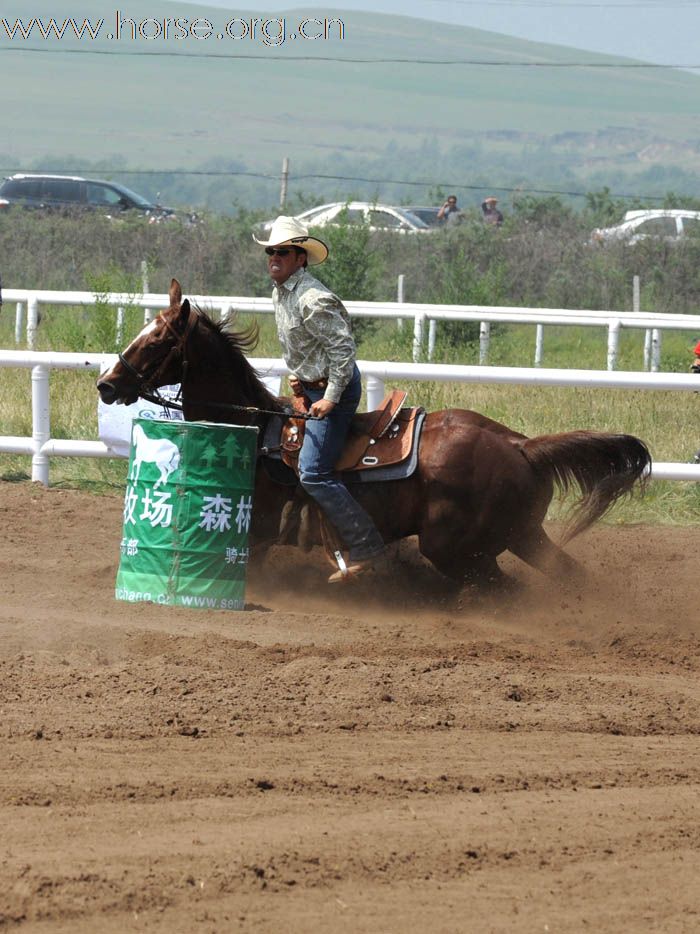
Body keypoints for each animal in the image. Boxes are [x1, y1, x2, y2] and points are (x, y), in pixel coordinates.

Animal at [98, 278, 652, 588]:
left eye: (157, 341)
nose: (106, 383)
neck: (256, 430)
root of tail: (521, 445)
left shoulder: (255, 532)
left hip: (457, 548)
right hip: (521, 534)